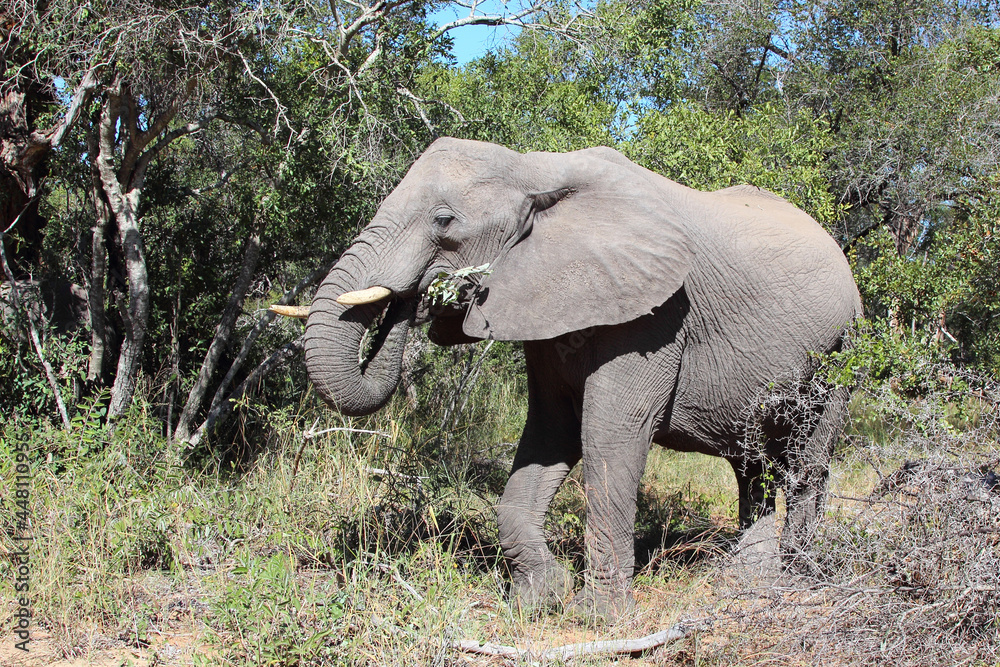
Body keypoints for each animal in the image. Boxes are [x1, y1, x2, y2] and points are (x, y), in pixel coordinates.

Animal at [302, 137, 862, 618]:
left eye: (444, 221)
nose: (414, 298)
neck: (535, 169)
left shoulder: (655, 313)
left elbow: (607, 434)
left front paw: (598, 617)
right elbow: (550, 432)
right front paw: (539, 597)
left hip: (844, 347)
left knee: (808, 459)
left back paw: (796, 576)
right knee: (752, 463)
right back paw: (746, 581)